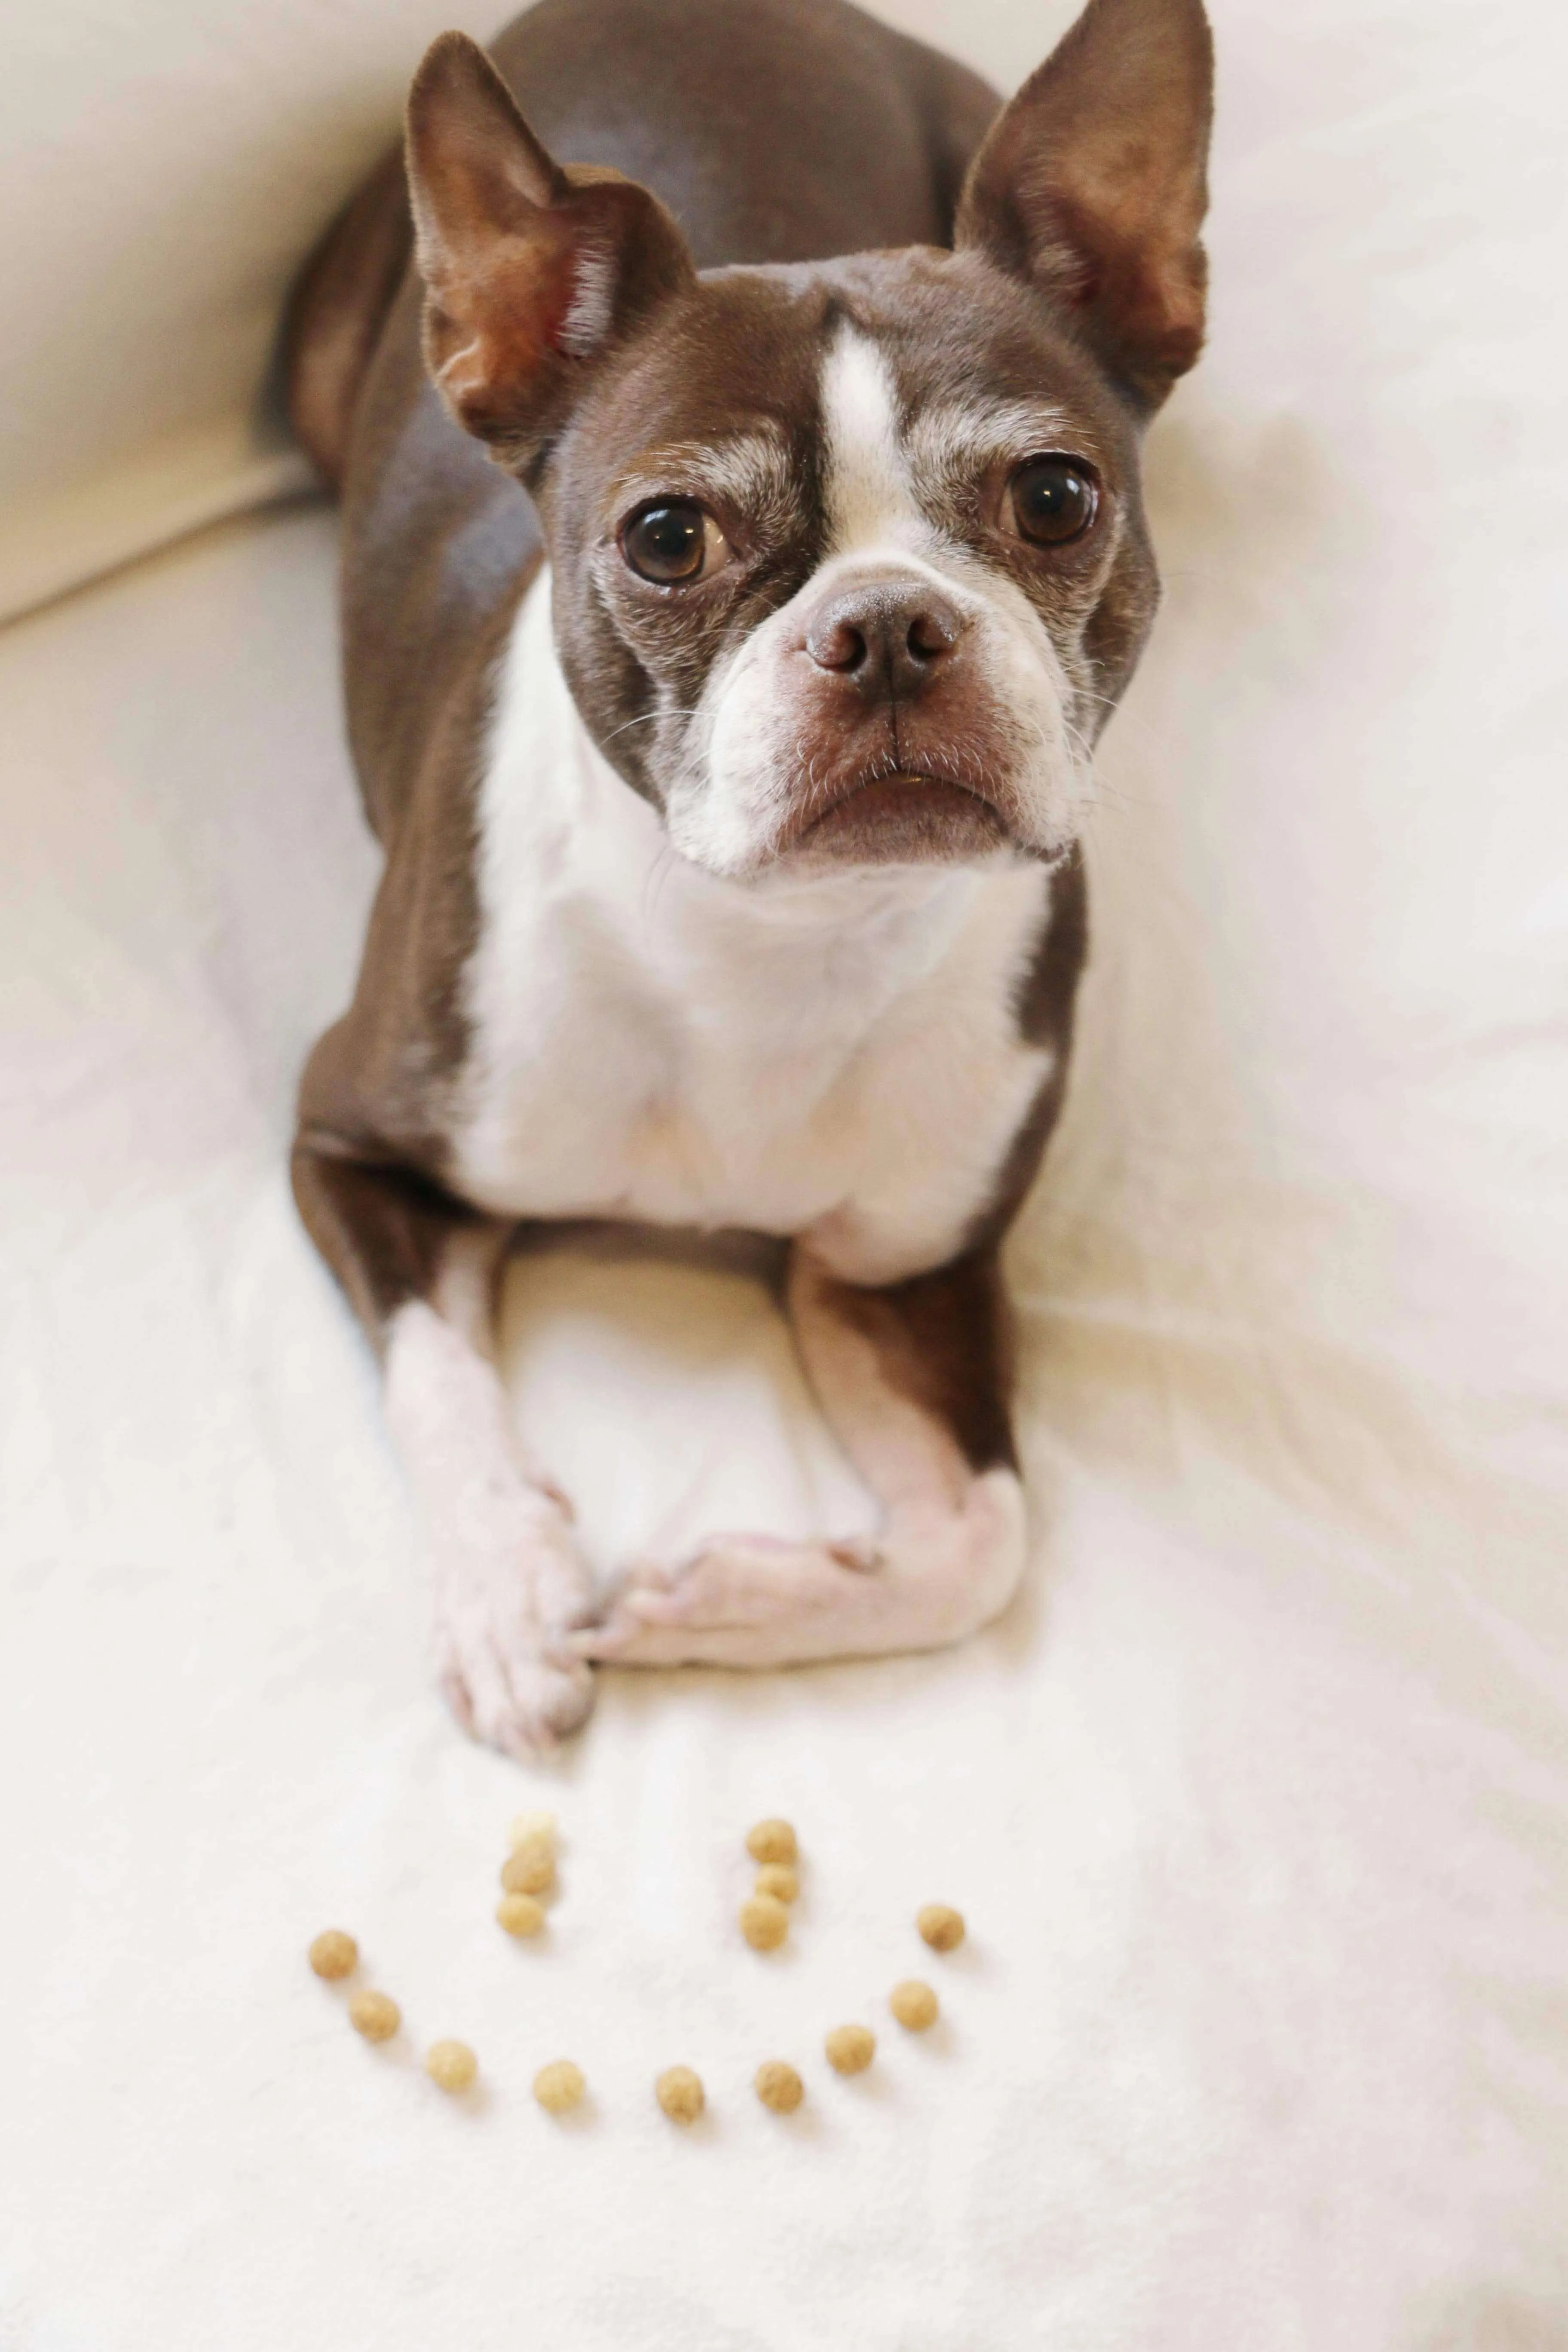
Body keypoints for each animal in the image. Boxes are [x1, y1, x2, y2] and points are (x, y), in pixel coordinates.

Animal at [282, 0, 1213, 1759]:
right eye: (666, 537)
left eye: (1055, 498)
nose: (890, 624)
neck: (772, 945)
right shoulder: (351, 1135)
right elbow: (442, 1378)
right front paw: (510, 1596)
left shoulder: (904, 1269)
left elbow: (980, 1539)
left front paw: (732, 1598)